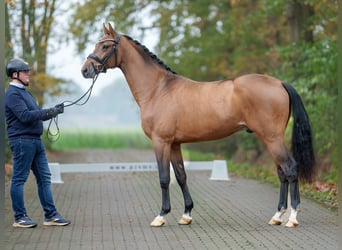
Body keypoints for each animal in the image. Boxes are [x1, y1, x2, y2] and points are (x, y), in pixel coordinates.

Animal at [81, 23, 316, 229]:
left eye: (105, 46)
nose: (85, 70)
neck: (158, 89)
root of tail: (279, 83)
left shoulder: (161, 142)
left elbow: (164, 178)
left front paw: (161, 216)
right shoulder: (175, 144)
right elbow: (181, 176)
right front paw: (186, 215)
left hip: (272, 138)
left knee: (290, 168)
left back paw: (292, 218)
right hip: (270, 138)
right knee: (281, 172)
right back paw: (277, 216)